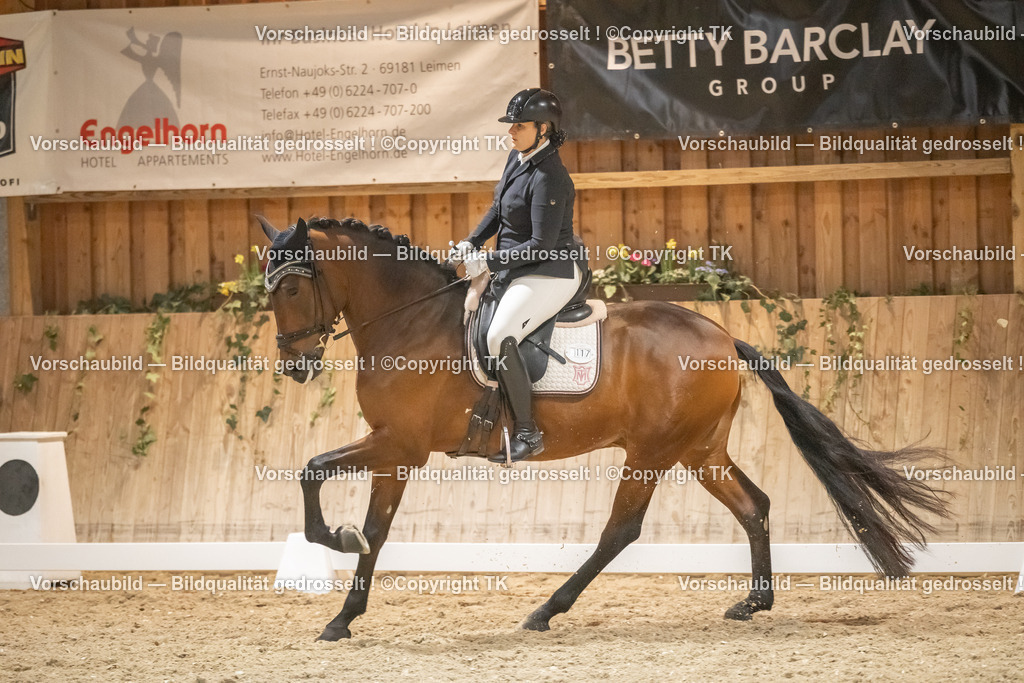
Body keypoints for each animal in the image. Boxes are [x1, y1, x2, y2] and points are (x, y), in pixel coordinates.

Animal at [256, 215, 950, 641]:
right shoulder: (394, 448)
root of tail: (723, 336)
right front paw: (343, 610)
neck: (411, 320)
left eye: (290, 289)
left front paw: (337, 552)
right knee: (754, 505)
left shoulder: (399, 445)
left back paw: (546, 610)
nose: (295, 366)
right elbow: (356, 513)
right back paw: (753, 603)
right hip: (700, 450)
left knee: (621, 529)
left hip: (651, 451)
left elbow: (325, 485)